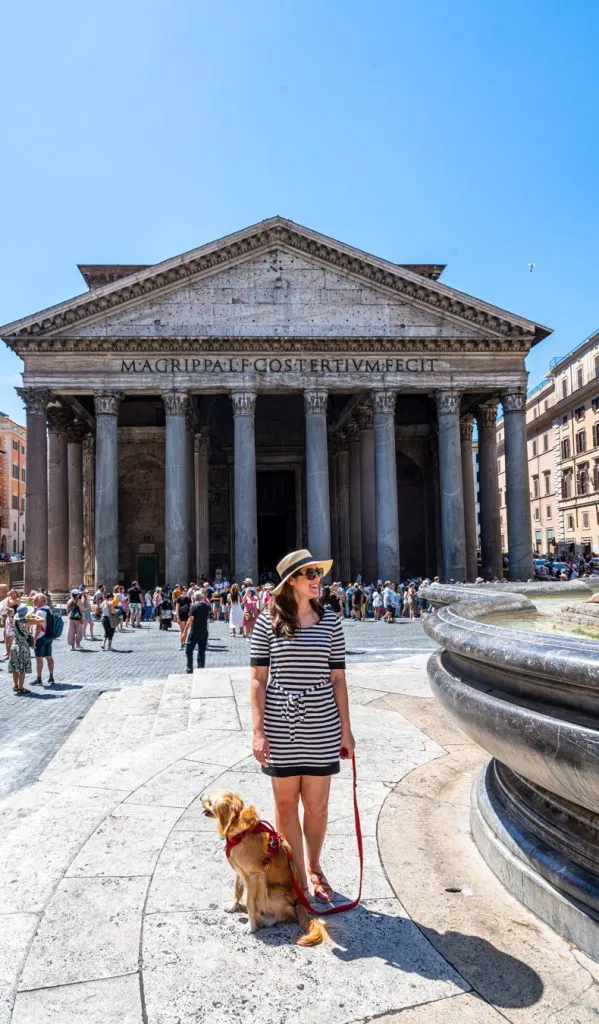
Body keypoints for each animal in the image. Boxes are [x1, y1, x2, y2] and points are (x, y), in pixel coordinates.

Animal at [202, 786, 329, 946]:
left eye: (209, 801)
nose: (200, 797)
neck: (238, 828)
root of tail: (299, 901)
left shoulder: (254, 876)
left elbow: (250, 902)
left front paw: (251, 926)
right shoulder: (239, 871)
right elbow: (237, 889)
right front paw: (233, 905)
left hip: (271, 890)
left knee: (289, 914)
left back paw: (265, 920)